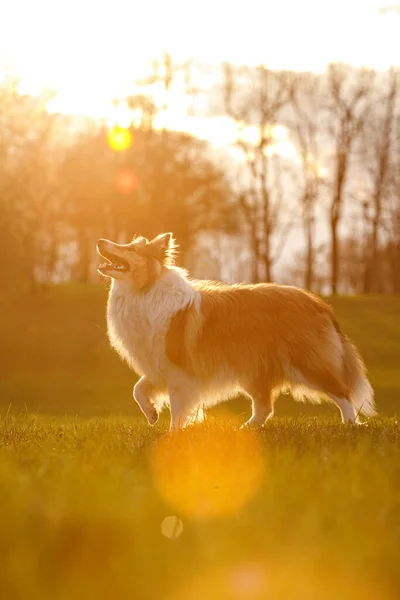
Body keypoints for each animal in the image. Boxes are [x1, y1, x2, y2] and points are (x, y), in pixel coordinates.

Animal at [96, 232, 376, 428]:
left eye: (131, 249)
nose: (100, 241)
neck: (145, 290)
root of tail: (320, 304)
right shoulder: (157, 367)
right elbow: (138, 390)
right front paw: (152, 415)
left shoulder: (178, 371)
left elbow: (177, 410)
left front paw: (172, 436)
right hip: (255, 371)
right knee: (264, 408)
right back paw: (244, 430)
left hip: (307, 364)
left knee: (343, 392)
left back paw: (351, 424)